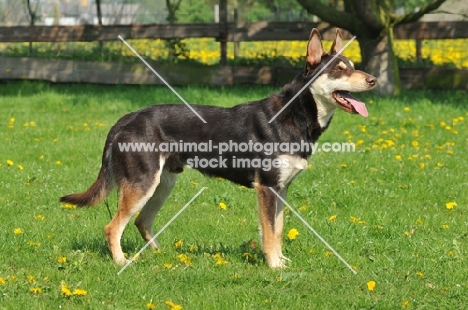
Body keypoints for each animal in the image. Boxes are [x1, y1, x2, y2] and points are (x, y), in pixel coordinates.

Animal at [61, 27, 376, 268]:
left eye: (353, 67)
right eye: (338, 71)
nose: (373, 80)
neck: (294, 115)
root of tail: (126, 118)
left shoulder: (282, 189)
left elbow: (277, 230)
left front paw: (281, 261)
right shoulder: (267, 188)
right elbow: (270, 233)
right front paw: (274, 266)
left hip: (162, 184)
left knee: (142, 222)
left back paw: (161, 256)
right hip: (142, 184)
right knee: (112, 227)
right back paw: (122, 262)